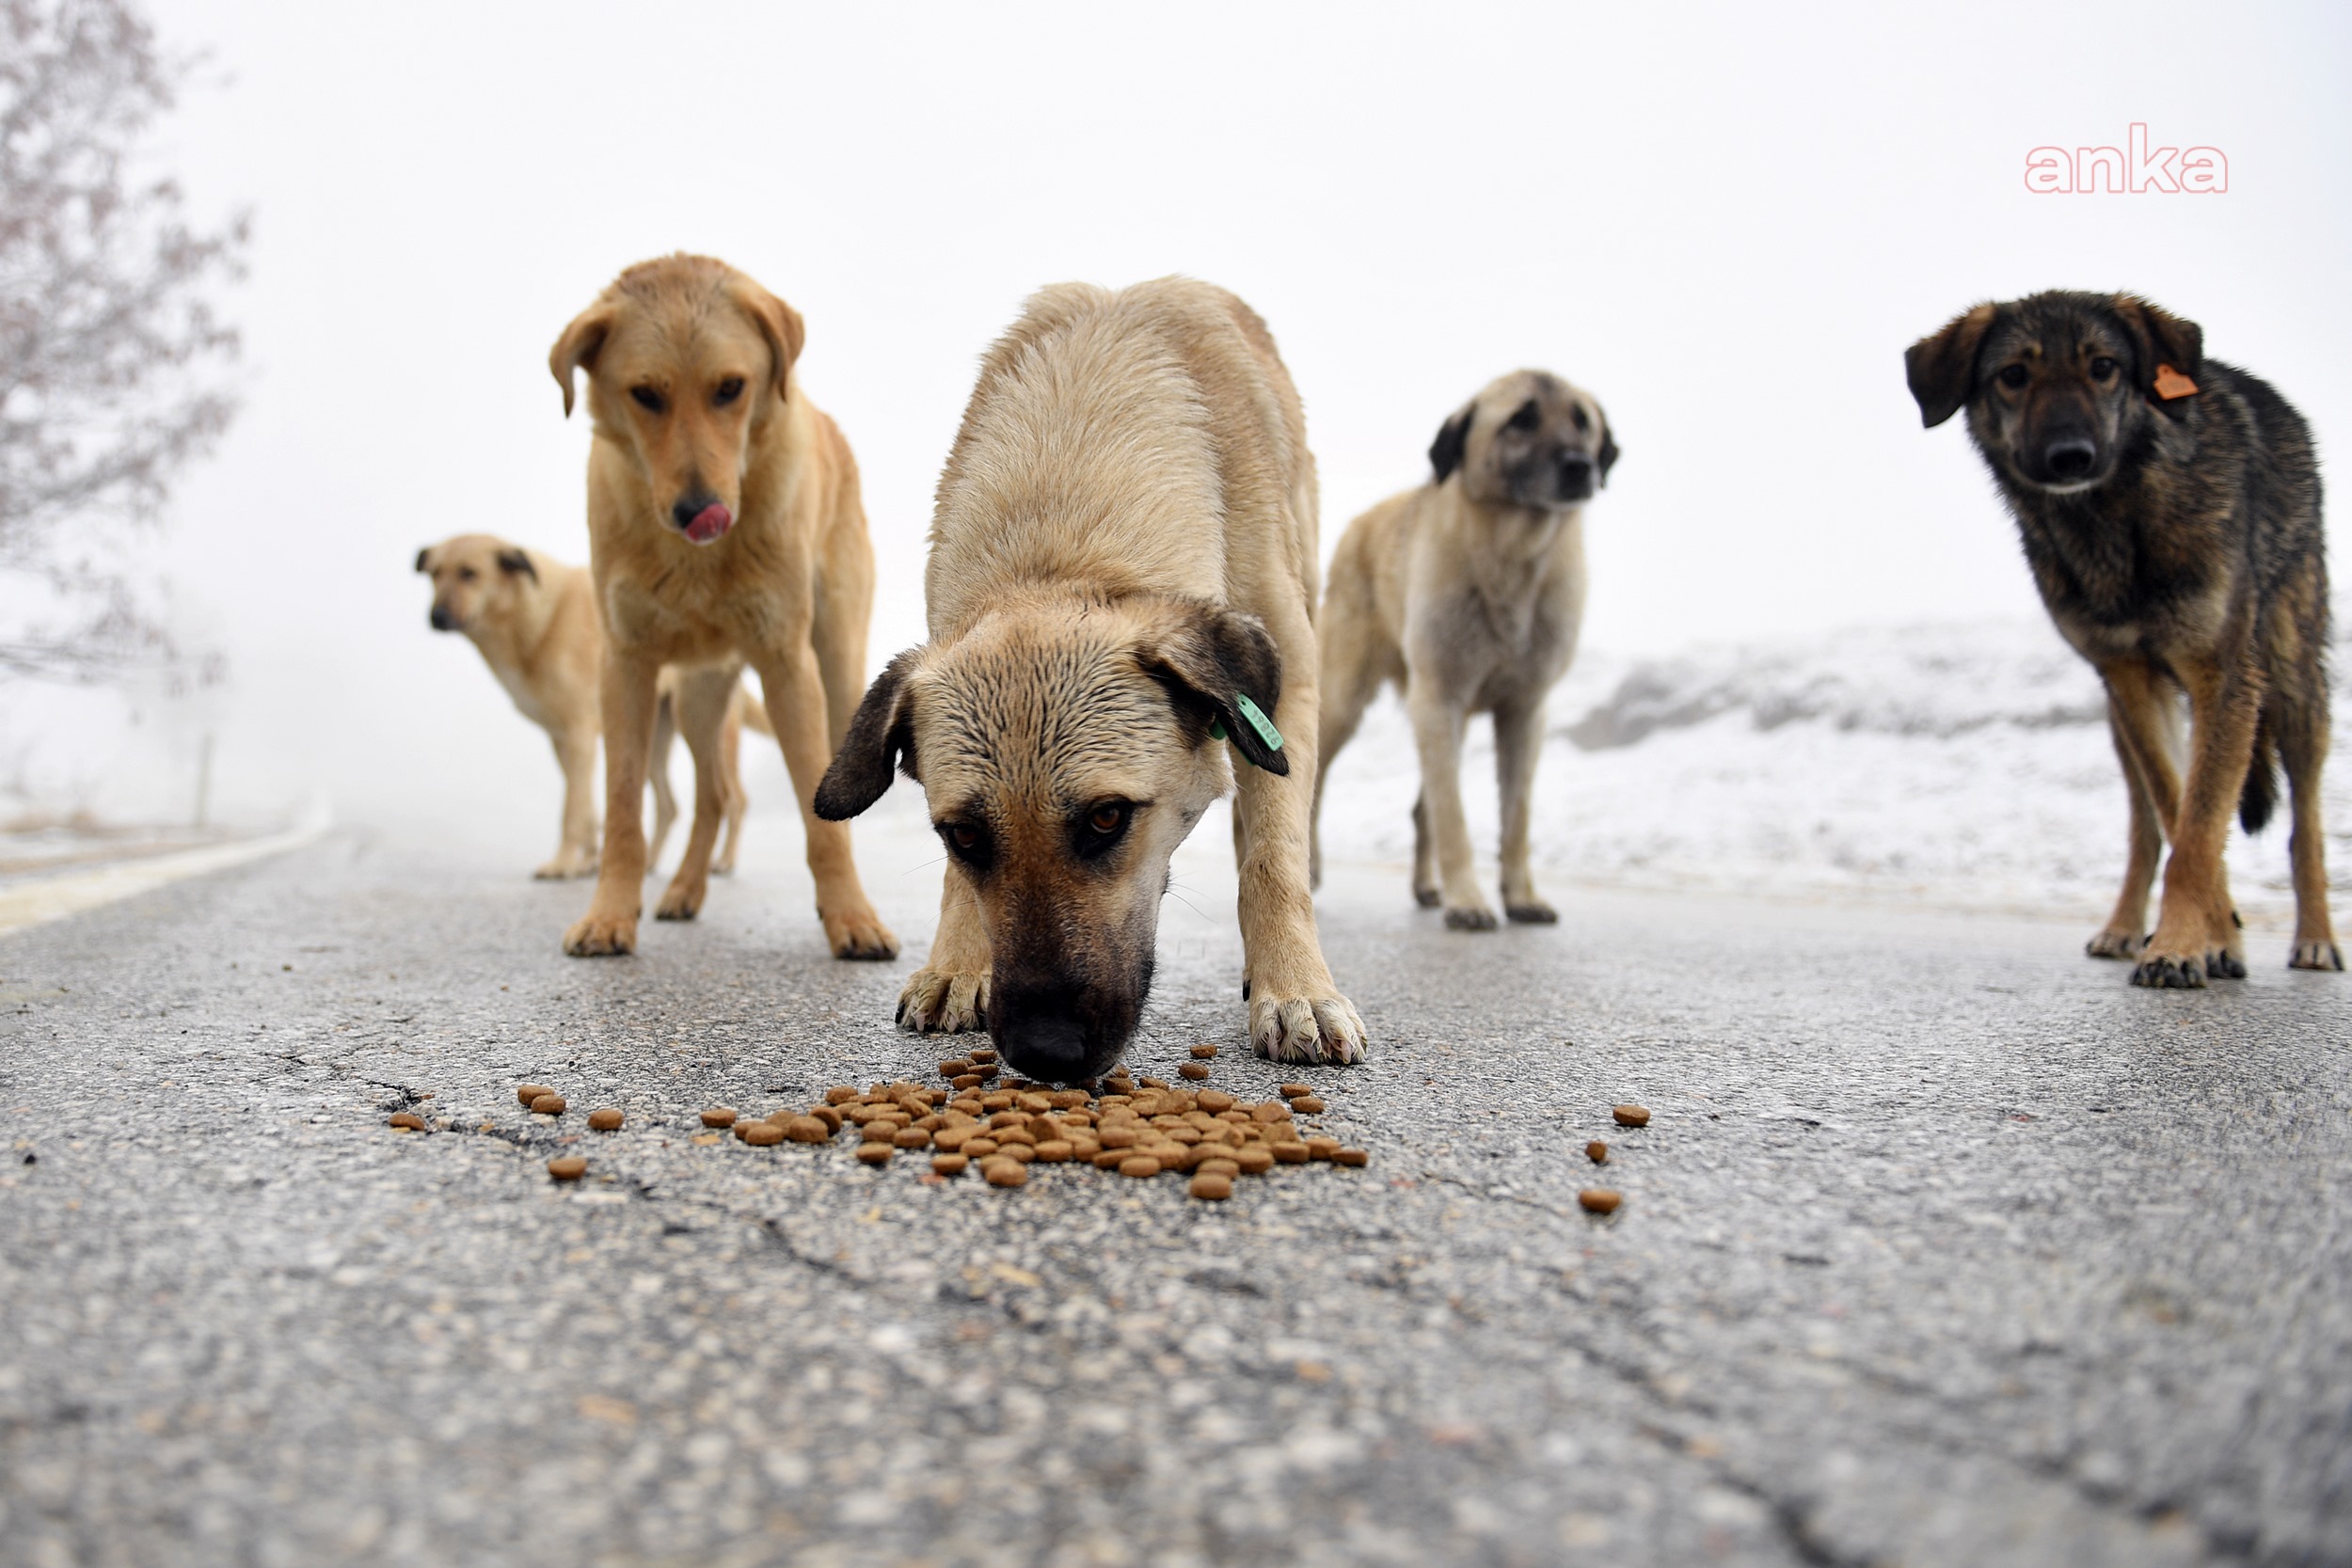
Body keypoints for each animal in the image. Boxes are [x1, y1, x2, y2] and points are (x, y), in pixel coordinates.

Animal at [414, 535, 762, 883]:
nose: (436, 617)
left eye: (469, 573)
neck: (537, 620)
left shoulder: (578, 735)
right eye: (434, 573)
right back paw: (647, 862)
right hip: (648, 739)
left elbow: (572, 810)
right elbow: (587, 809)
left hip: (708, 733)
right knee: (669, 805)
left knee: (735, 799)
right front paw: (587, 862)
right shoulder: (562, 741)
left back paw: (723, 861)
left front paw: (562, 864)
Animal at [1308, 369, 1618, 930]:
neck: (1513, 555)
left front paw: (1520, 896)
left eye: (1582, 422)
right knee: (1317, 781)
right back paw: (1312, 866)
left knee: (1421, 807)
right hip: (1345, 699)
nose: (1580, 467)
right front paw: (1469, 900)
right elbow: (1453, 815)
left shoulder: (1523, 712)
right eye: (1522, 420)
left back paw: (1426, 886)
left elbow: (1515, 817)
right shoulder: (1439, 699)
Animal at [1910, 288, 2333, 987]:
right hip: (2122, 719)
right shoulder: (2131, 679)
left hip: (2293, 685)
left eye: (2103, 367)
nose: (2069, 456)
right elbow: (2180, 815)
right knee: (2147, 826)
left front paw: (2183, 944)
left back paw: (2317, 938)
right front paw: (2208, 937)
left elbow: (2201, 827)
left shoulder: (2224, 677)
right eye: (2014, 376)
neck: (2113, 521)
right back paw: (2132, 927)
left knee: (2306, 826)